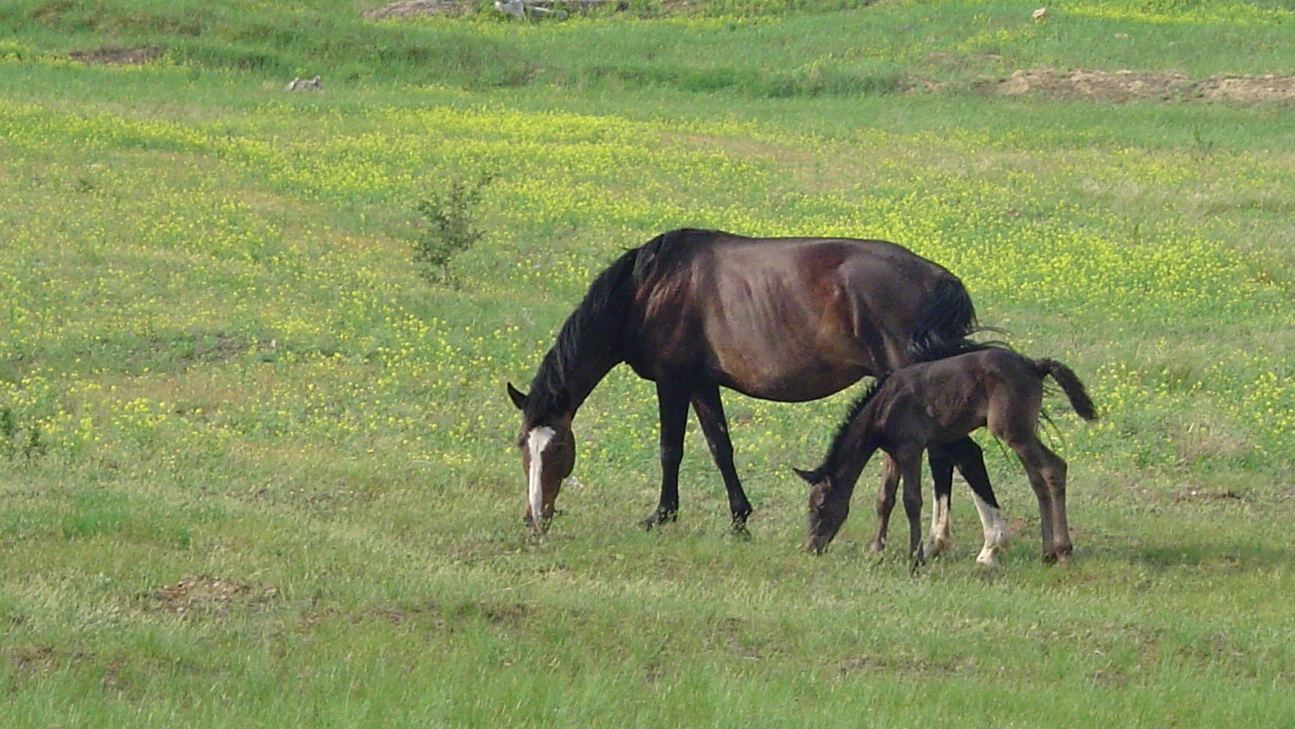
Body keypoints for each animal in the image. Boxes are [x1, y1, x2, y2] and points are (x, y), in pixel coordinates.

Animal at [505, 227, 999, 536]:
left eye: (557, 449)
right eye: (522, 446)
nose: (534, 518)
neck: (649, 288)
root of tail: (940, 280)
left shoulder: (673, 382)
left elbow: (670, 450)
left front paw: (662, 515)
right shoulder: (703, 384)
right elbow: (721, 448)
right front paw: (739, 519)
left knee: (959, 455)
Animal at [792, 344, 1098, 567]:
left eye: (819, 506)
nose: (811, 546)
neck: (883, 407)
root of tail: (1035, 365)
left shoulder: (911, 447)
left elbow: (911, 501)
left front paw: (915, 559)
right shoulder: (892, 453)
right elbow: (884, 499)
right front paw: (875, 549)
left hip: (1012, 431)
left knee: (1054, 468)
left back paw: (1063, 550)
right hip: (1022, 432)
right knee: (1037, 479)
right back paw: (1047, 553)